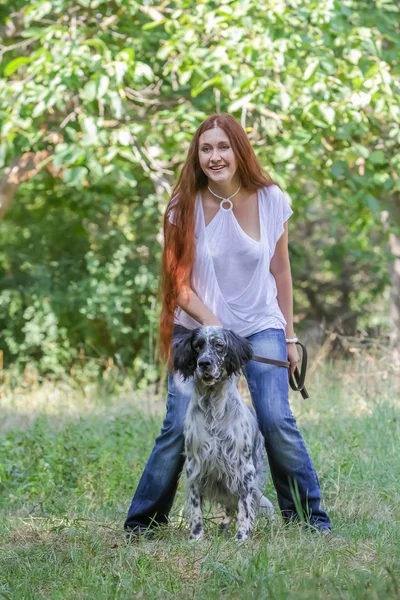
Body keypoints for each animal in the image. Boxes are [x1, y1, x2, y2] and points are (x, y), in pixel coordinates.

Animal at [170, 326, 274, 540]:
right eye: (197, 346)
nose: (204, 363)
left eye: (219, 344)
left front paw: (242, 536)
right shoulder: (195, 464)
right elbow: (196, 507)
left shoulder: (244, 468)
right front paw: (196, 537)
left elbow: (245, 507)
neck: (213, 407)